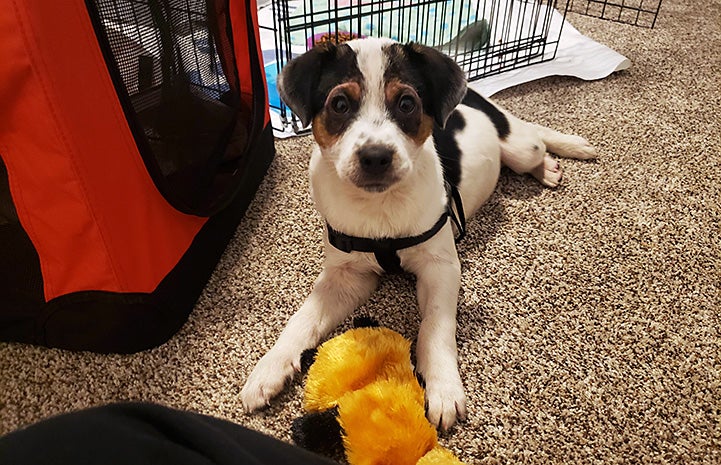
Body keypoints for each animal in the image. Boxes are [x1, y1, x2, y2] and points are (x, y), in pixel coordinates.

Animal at [242, 38, 596, 430]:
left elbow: (436, 328)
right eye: (340, 104)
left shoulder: (440, 267)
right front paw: (269, 367)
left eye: (407, 104)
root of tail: (477, 93)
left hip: (520, 148)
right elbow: (302, 319)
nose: (376, 157)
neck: (379, 207)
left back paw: (555, 158)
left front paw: (443, 386)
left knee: (534, 135)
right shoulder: (346, 275)